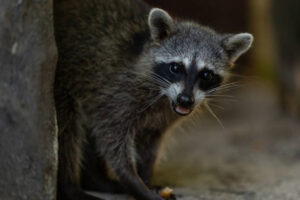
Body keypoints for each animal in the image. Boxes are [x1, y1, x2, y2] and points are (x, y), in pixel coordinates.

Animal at [54, 0, 253, 200]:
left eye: (206, 74)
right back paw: (69, 187)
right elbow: (111, 137)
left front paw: (145, 178)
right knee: (68, 129)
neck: (164, 96)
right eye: (176, 67)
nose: (185, 100)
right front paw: (132, 180)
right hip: (65, 80)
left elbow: (150, 145)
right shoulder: (118, 93)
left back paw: (95, 180)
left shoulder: (160, 120)